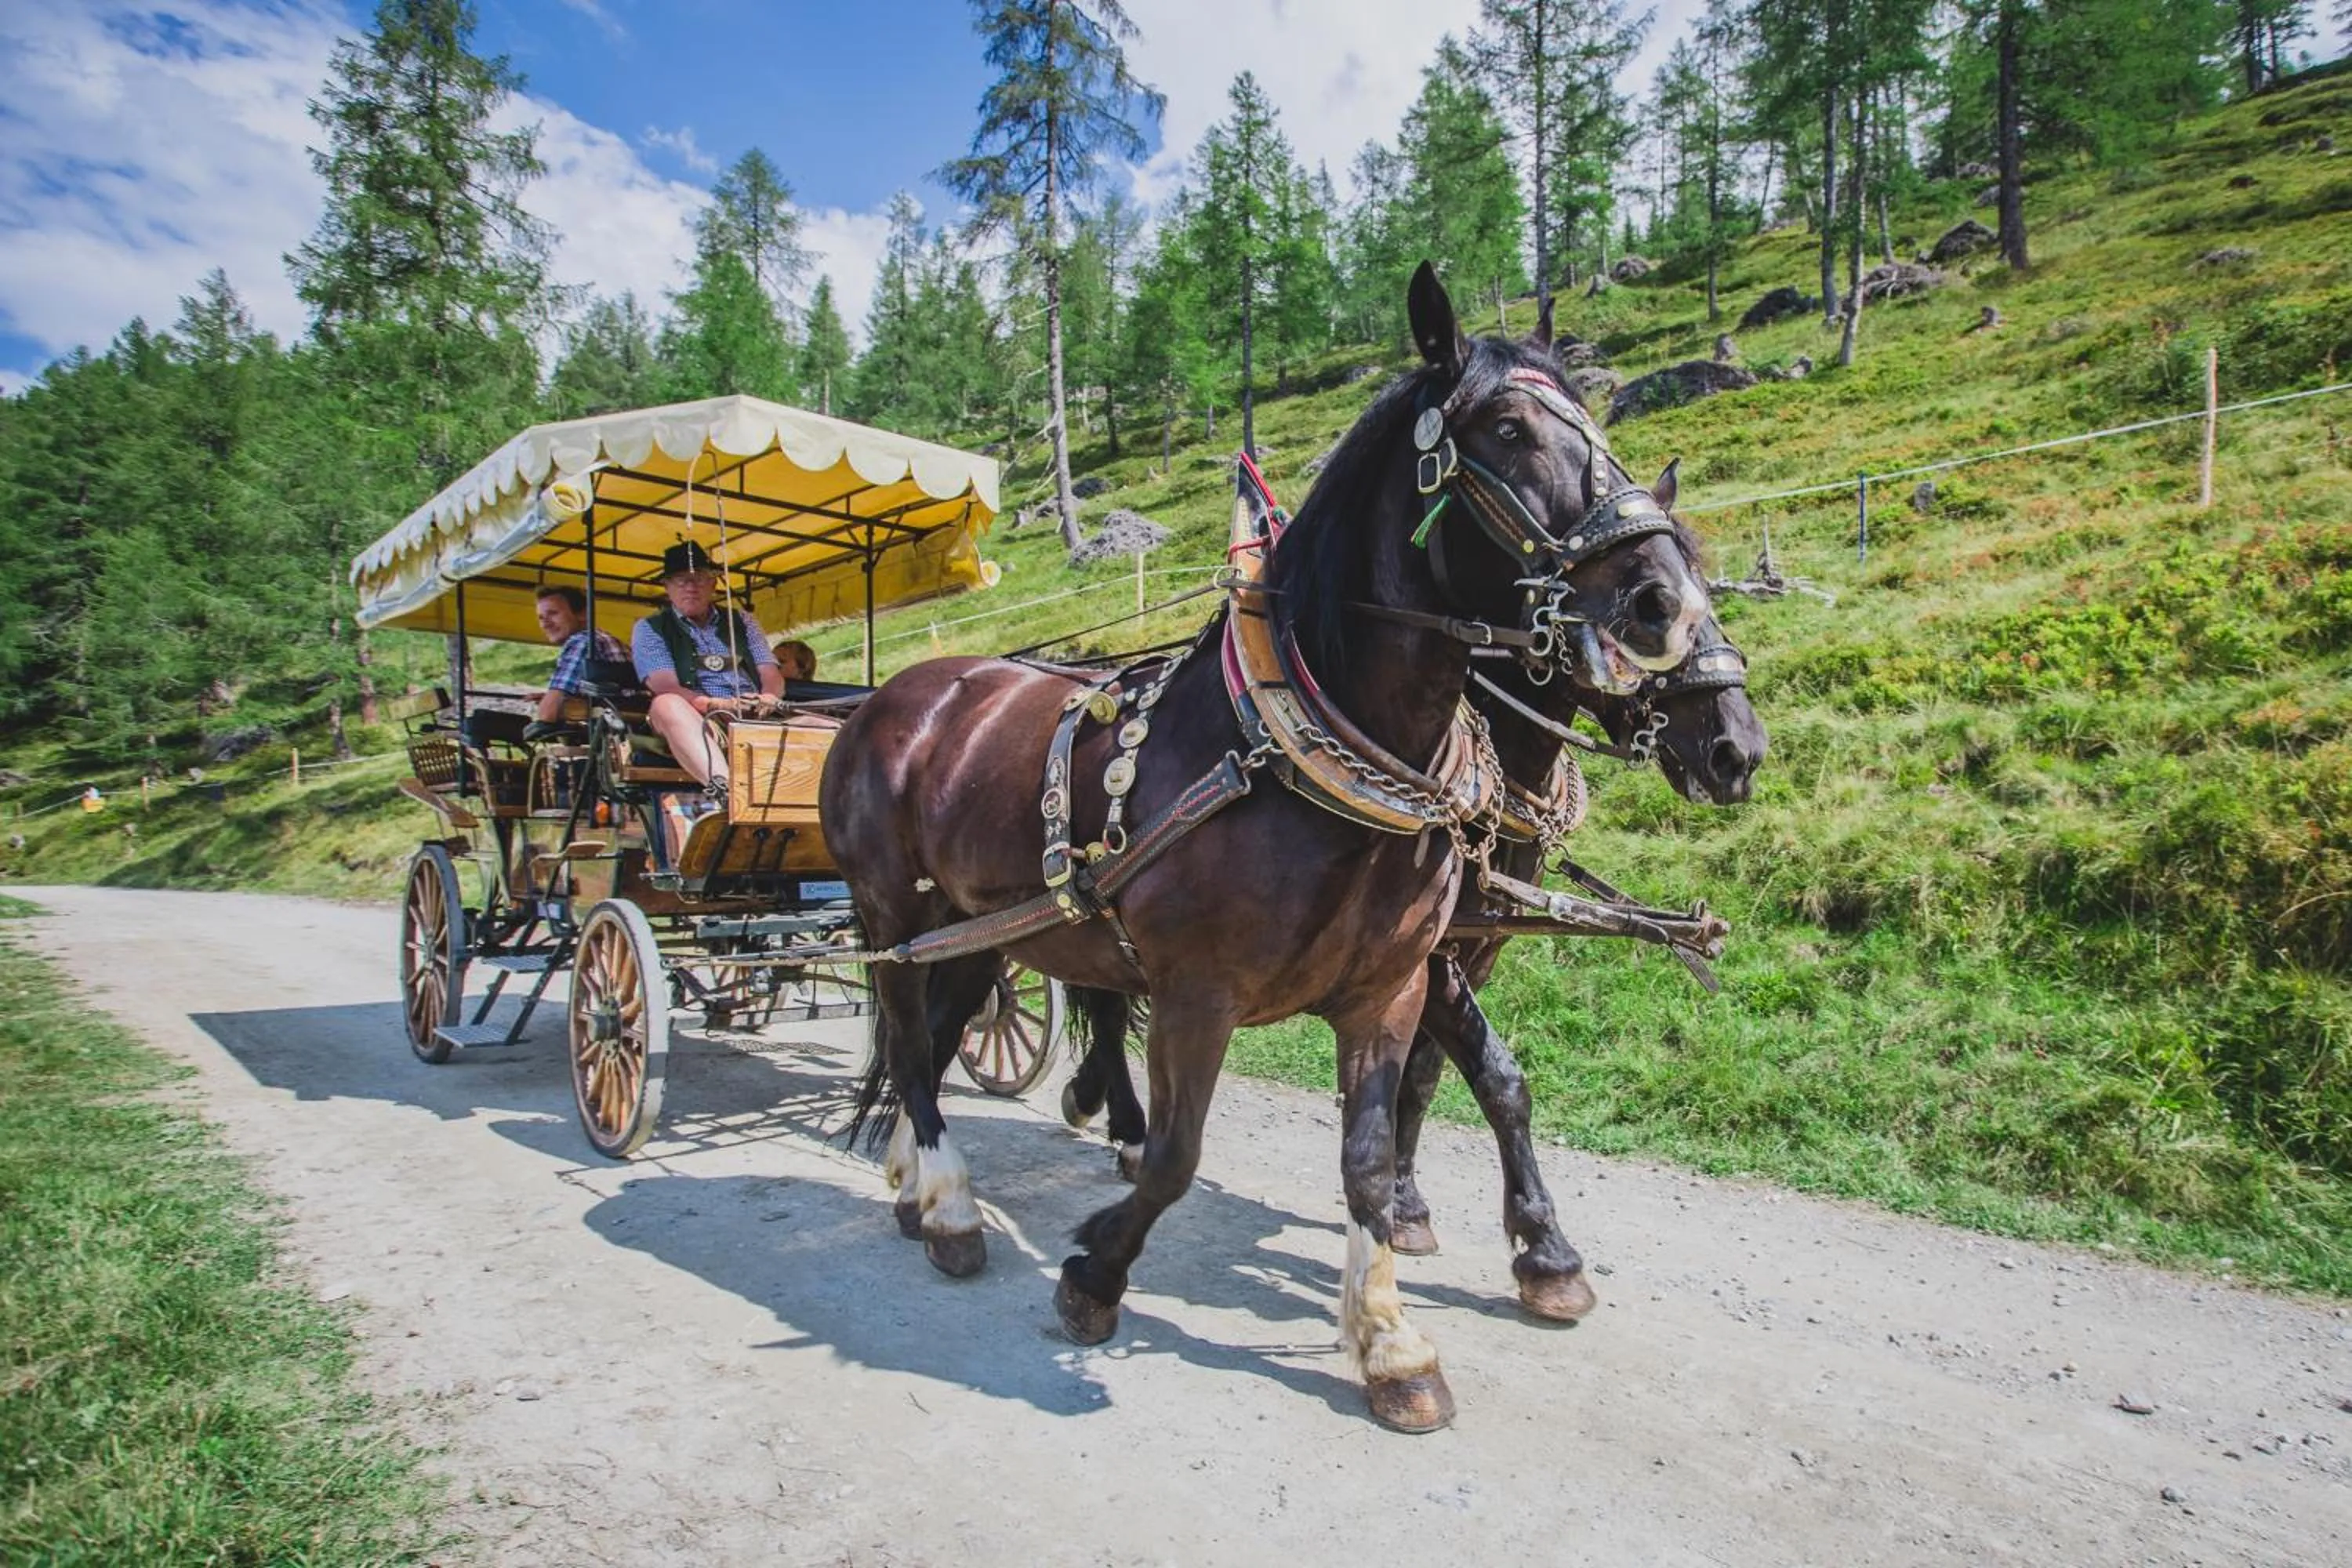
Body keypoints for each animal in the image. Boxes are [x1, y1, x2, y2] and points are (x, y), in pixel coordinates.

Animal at [818, 263, 1711, 1432]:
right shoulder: (1199, 994)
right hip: (891, 912)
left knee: (935, 1030)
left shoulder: (1389, 989)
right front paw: (1094, 1272)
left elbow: (1374, 1154)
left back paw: (920, 1186)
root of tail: (897, 692)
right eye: (1512, 430)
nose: (1665, 601)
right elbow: (1175, 1157)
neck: (1309, 759)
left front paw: (1391, 1338)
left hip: (978, 927)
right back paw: (954, 1206)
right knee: (911, 1043)